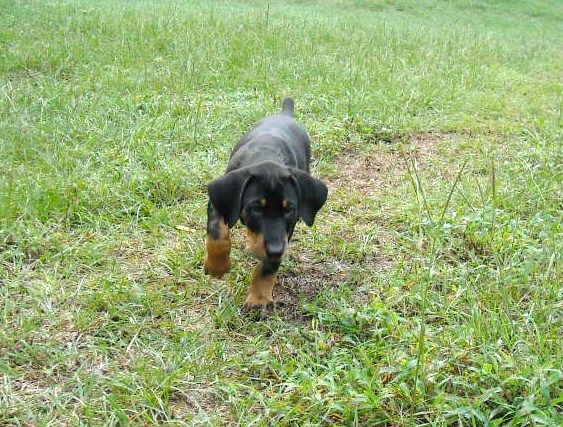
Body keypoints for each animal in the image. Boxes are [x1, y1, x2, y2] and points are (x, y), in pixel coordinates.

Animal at [206, 98, 330, 310]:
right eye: (256, 208)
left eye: (289, 210)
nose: (275, 251)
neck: (266, 155)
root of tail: (285, 114)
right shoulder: (219, 202)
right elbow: (217, 232)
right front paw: (217, 266)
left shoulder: (288, 229)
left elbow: (269, 266)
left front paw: (258, 298)